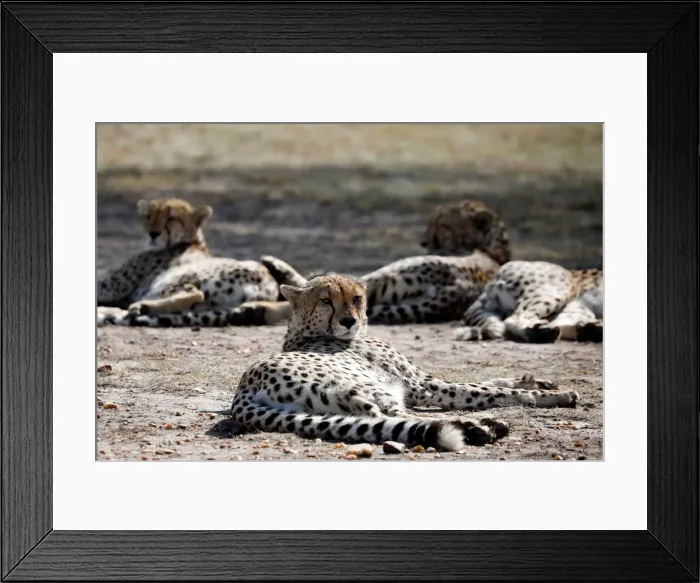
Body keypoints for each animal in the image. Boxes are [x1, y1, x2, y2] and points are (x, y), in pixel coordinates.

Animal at [96, 198, 305, 327]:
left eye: (171, 218)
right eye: (149, 216)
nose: (152, 233)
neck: (194, 241)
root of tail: (266, 284)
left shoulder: (112, 286)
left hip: (178, 278)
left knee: (194, 293)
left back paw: (141, 307)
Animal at [230, 274, 580, 451]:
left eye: (356, 298)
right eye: (326, 301)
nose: (348, 321)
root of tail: (244, 387)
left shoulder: (422, 380)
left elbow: (491, 381)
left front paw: (536, 381)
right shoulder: (422, 386)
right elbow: (488, 391)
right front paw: (554, 395)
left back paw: (480, 427)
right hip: (368, 390)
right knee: (395, 419)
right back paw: (477, 427)